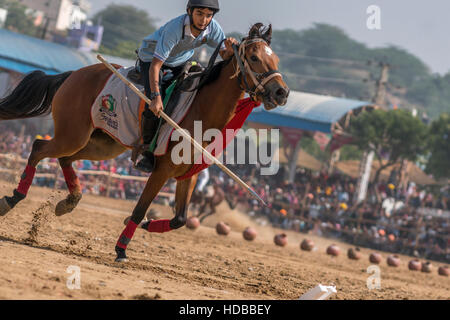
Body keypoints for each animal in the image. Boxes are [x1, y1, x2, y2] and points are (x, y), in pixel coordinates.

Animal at [0, 23, 288, 262]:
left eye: (275, 58)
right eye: (254, 57)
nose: (281, 92)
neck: (200, 111)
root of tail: (74, 74)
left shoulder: (188, 176)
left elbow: (180, 219)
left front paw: (147, 225)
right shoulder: (161, 171)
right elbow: (140, 209)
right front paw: (121, 249)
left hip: (104, 145)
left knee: (65, 158)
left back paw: (69, 201)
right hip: (73, 134)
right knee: (39, 149)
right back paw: (14, 198)